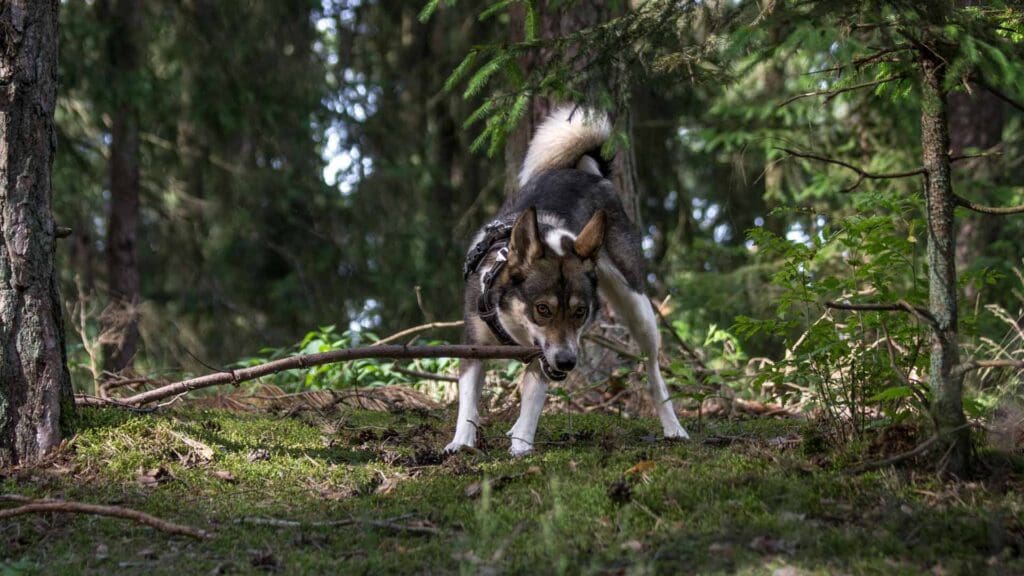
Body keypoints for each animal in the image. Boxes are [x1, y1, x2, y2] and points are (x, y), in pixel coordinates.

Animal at [446, 105, 692, 455]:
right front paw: (461, 442)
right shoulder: (474, 346)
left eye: (579, 312)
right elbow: (468, 401)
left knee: (653, 369)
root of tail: (589, 172)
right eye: (542, 309)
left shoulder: (545, 355)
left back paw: (673, 426)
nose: (567, 363)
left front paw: (522, 446)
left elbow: (532, 402)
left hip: (636, 304)